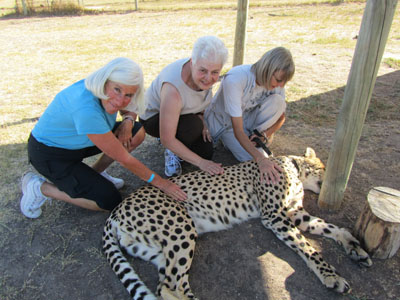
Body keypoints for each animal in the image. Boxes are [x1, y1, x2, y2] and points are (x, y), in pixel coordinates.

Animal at [102, 148, 372, 300]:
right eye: (323, 167)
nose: (336, 182)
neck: (293, 168)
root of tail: (117, 209)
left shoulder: (294, 213)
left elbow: (331, 227)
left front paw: (355, 247)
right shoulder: (275, 216)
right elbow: (308, 247)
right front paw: (331, 276)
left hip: (156, 249)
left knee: (169, 282)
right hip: (181, 228)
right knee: (167, 287)